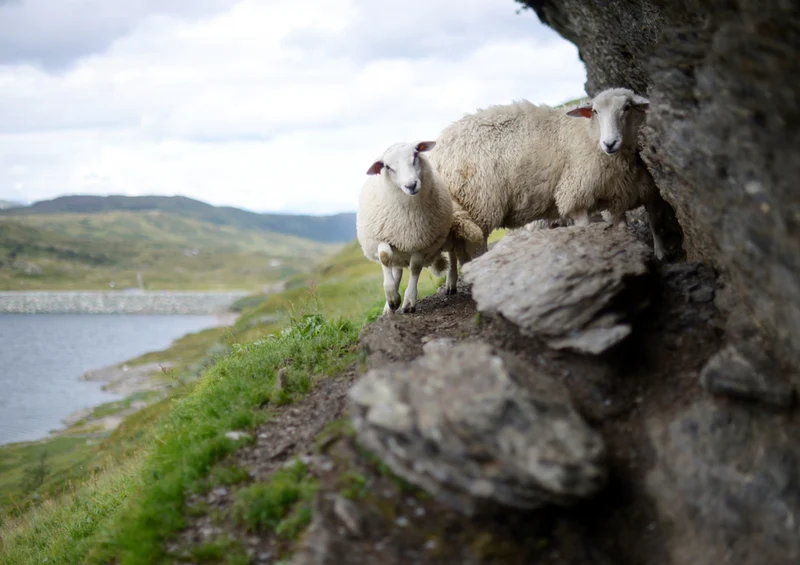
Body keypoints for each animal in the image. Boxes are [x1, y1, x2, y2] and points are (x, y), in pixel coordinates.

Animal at [357, 140, 458, 315]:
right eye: (387, 166)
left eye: (416, 155)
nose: (411, 185)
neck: (408, 216)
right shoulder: (381, 236)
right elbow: (385, 257)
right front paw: (392, 297)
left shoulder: (421, 242)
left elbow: (415, 267)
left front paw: (409, 301)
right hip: (399, 249)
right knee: (396, 268)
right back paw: (389, 307)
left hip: (446, 234)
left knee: (452, 253)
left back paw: (451, 282)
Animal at [427, 87, 667, 260]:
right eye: (595, 111)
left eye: (627, 107)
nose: (610, 143)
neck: (591, 134)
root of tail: (438, 151)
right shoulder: (575, 193)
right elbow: (585, 228)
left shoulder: (627, 194)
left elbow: (649, 225)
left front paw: (658, 254)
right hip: (479, 204)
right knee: (472, 248)